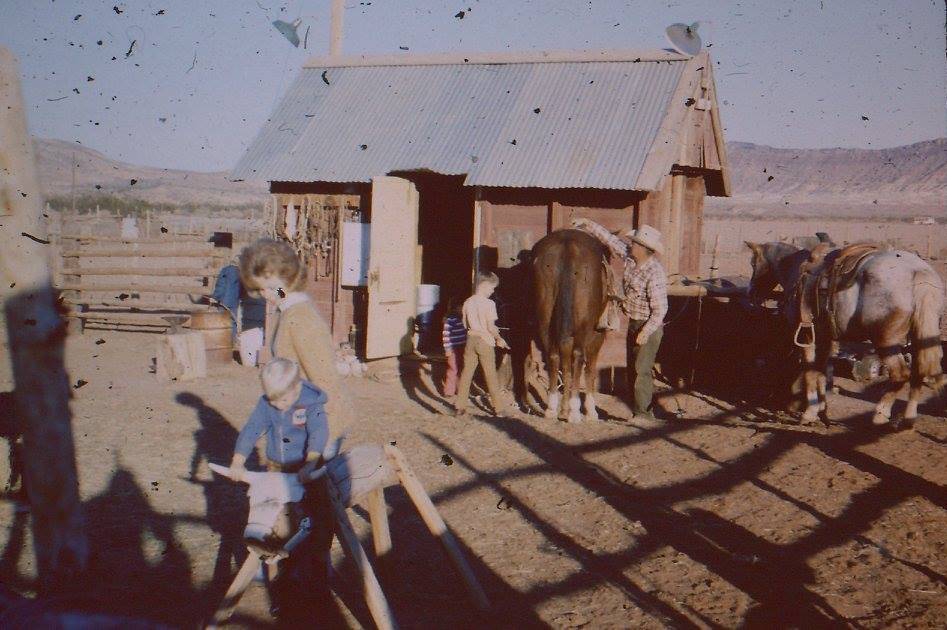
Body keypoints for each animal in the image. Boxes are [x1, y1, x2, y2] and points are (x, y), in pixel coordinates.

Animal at [532, 230, 608, 422]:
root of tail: (568, 245)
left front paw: (563, 409)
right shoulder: (598, 335)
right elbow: (590, 369)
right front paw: (590, 411)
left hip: (545, 319)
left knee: (553, 355)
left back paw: (552, 408)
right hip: (584, 325)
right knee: (578, 355)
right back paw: (574, 411)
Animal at [748, 239, 940, 428]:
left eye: (753, 263)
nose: (751, 294)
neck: (796, 269)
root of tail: (918, 272)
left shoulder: (806, 336)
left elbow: (809, 371)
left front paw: (809, 414)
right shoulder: (825, 337)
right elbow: (821, 372)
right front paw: (822, 411)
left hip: (886, 342)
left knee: (900, 375)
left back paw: (880, 415)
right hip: (920, 339)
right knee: (918, 374)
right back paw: (909, 419)